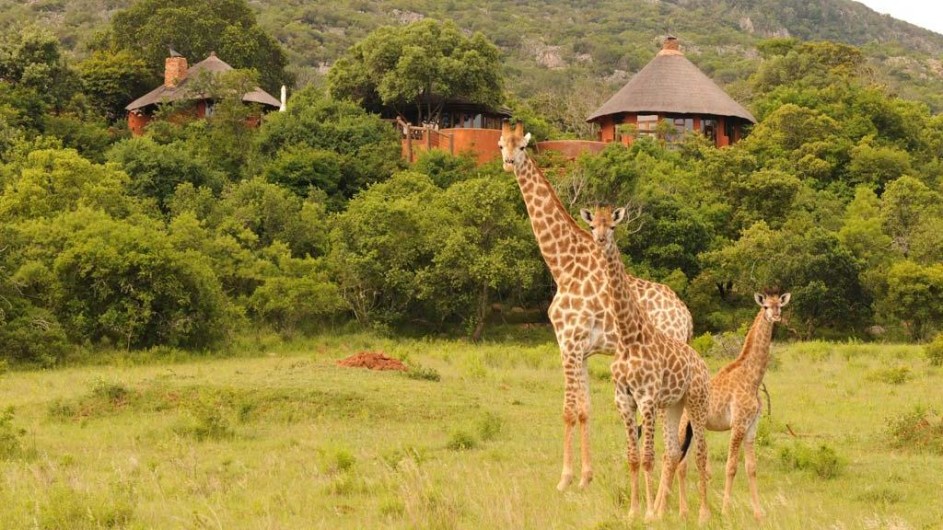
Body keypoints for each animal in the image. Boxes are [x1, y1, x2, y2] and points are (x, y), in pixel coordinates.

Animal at [502, 121, 692, 488]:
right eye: (502, 144)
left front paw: (564, 480)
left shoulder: (569, 343)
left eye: (522, 147)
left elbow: (568, 410)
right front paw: (586, 478)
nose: (507, 163)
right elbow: (585, 408)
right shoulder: (583, 350)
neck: (563, 265)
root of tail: (686, 315)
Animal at [588, 205, 712, 520]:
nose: (600, 241)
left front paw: (647, 513)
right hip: (673, 405)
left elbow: (647, 458)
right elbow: (633, 457)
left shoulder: (646, 398)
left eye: (613, 226)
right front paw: (634, 511)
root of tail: (703, 364)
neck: (629, 336)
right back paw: (672, 510)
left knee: (700, 453)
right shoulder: (623, 399)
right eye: (593, 225)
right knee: (674, 452)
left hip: (696, 401)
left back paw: (703, 514)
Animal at [680, 286, 788, 516]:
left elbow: (751, 468)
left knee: (681, 464)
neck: (752, 379)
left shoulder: (751, 426)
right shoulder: (738, 423)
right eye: (766, 306)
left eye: (779, 305)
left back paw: (682, 511)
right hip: (684, 425)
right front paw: (725, 510)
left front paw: (759, 513)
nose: (776, 316)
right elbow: (731, 467)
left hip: (692, 429)